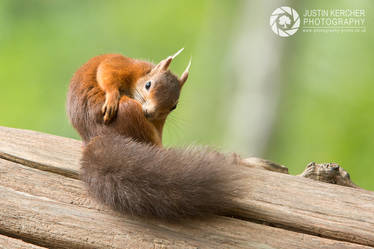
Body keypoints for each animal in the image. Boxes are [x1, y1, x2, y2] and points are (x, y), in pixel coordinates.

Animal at [67, 49, 243, 220]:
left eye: (174, 106)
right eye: (148, 85)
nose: (149, 113)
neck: (141, 75)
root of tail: (95, 135)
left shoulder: (158, 121)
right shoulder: (125, 65)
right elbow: (106, 71)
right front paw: (111, 97)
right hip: (130, 110)